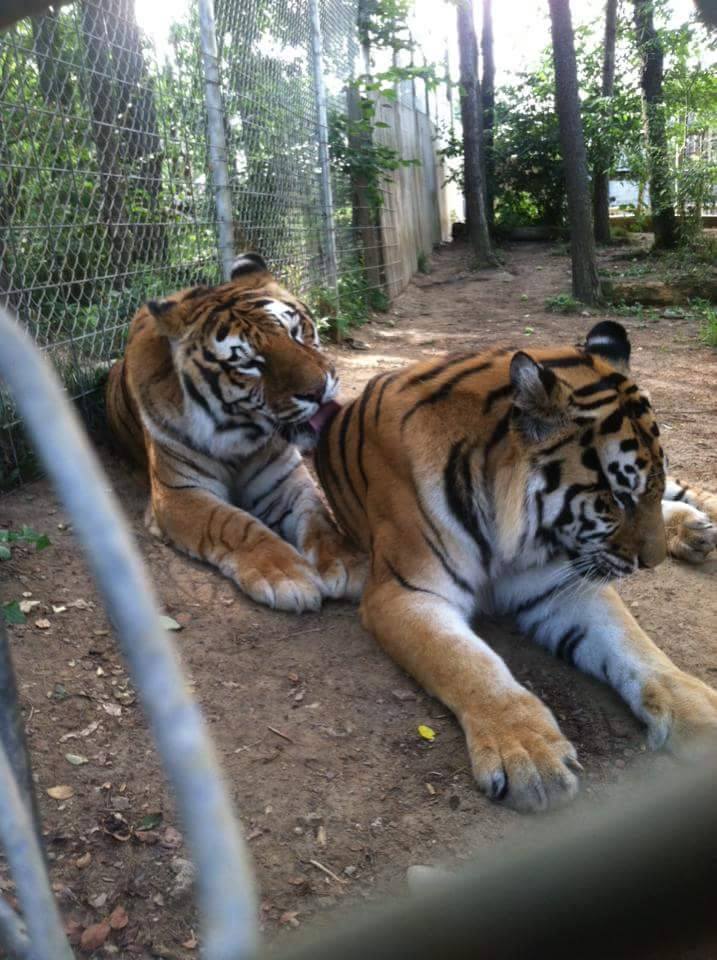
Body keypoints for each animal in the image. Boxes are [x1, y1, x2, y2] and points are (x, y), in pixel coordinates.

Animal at [106, 252, 365, 612]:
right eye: (250, 364)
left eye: (296, 331)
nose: (318, 390)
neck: (242, 438)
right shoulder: (179, 493)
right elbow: (232, 523)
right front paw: (286, 575)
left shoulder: (286, 480)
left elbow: (318, 517)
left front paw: (347, 561)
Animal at [314, 320, 717, 813]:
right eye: (615, 497)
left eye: (636, 492)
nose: (651, 563)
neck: (513, 531)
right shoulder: (406, 593)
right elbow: (468, 663)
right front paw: (529, 753)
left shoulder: (560, 585)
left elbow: (635, 646)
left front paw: (698, 710)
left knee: (685, 491)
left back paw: (697, 525)